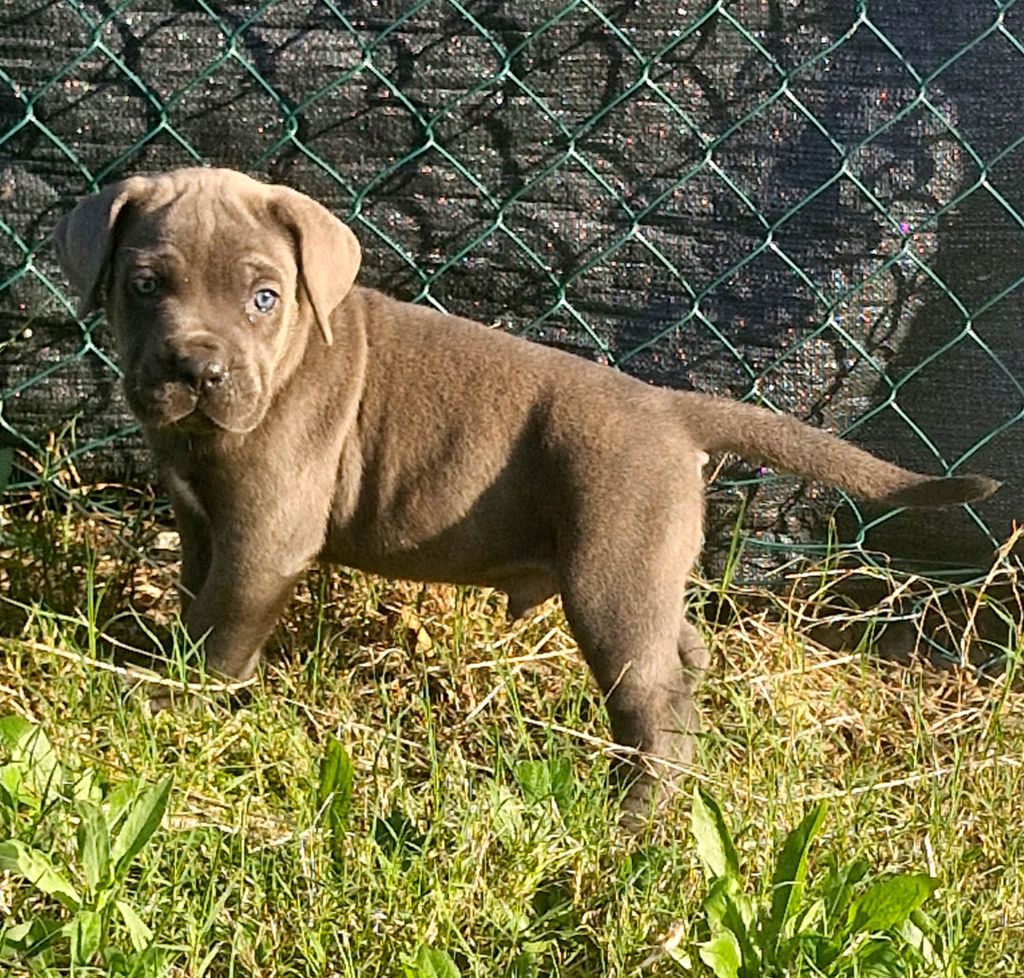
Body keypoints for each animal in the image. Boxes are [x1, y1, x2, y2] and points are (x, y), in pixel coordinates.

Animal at [54, 165, 999, 819]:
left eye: (263, 298)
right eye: (145, 286)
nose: (196, 370)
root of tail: (670, 409)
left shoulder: (263, 540)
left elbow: (220, 634)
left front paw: (177, 706)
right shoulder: (203, 522)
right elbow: (196, 602)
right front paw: (161, 666)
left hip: (611, 581)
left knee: (656, 709)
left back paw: (633, 821)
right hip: (646, 572)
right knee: (682, 654)